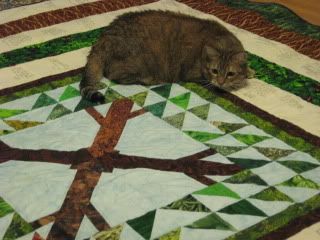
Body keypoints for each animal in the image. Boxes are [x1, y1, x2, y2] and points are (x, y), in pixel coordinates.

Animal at [79, 10, 250, 102]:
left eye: (230, 73)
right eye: (214, 71)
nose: (221, 82)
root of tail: (103, 37)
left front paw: (248, 73)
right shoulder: (192, 73)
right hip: (138, 63)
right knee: (116, 75)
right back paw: (151, 80)